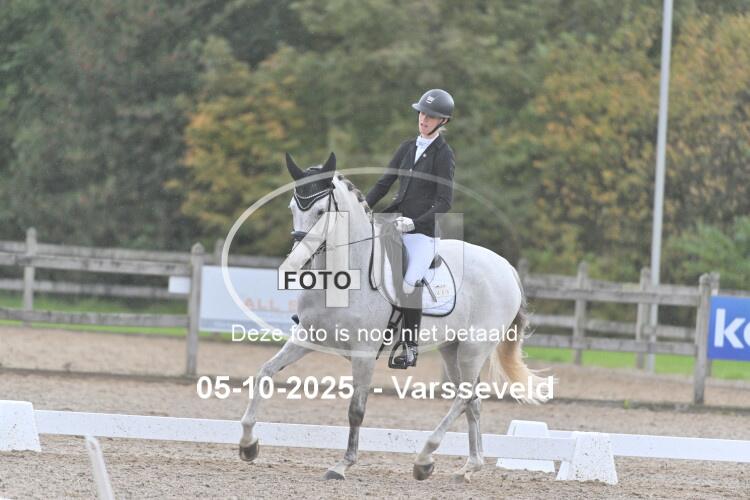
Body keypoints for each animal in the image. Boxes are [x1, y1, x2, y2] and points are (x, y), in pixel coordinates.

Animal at [238, 152, 548, 482]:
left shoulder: (363, 353)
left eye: (322, 211)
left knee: (465, 397)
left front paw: (343, 465)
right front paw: (248, 445)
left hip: (473, 348)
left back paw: (425, 459)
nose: (300, 262)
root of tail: (507, 268)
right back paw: (468, 467)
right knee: (472, 401)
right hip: (452, 349)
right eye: (293, 208)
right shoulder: (307, 338)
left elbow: (356, 409)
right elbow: (265, 373)